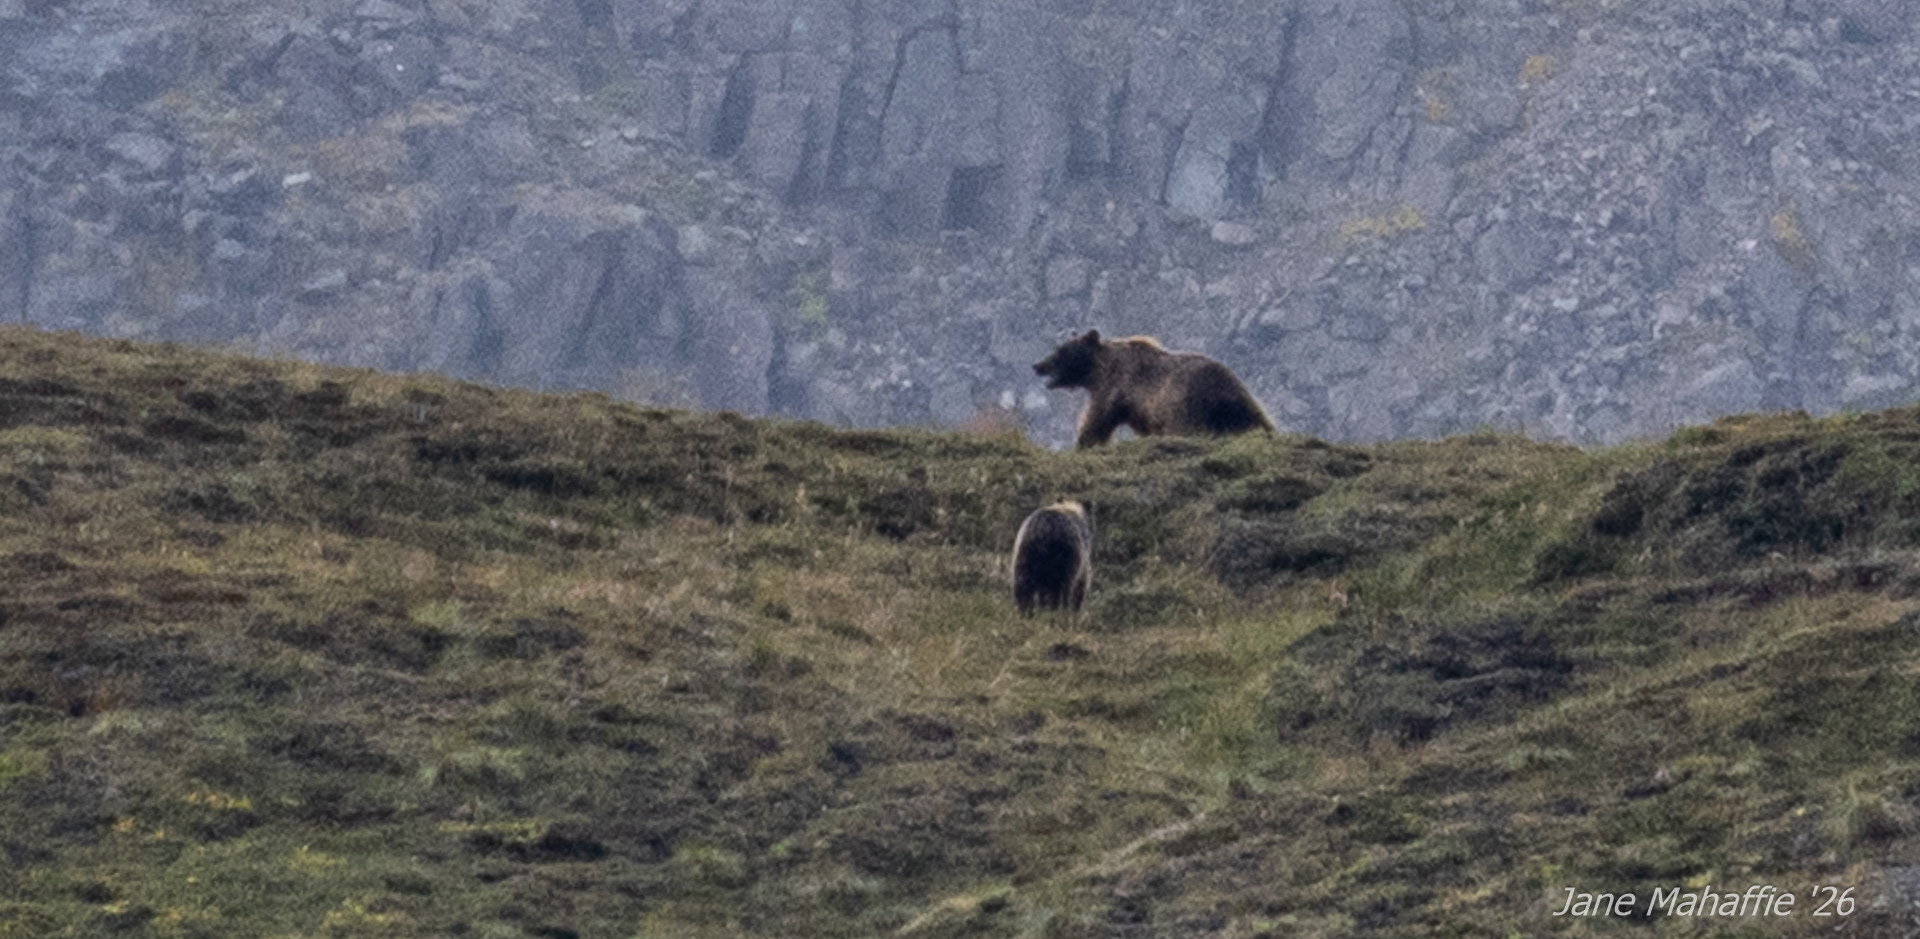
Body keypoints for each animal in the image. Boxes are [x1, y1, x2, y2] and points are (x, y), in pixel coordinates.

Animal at [1033, 330, 1275, 449]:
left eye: (1060, 350)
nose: (1038, 365)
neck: (1097, 371)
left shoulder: (1115, 387)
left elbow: (1098, 419)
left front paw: (1084, 443)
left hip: (1185, 402)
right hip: (1239, 401)